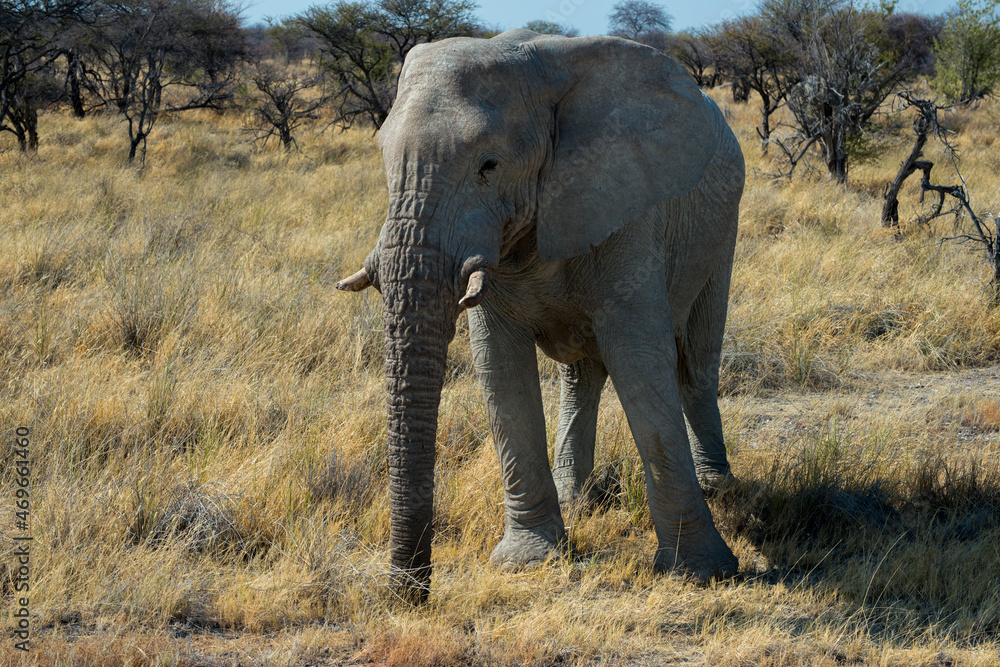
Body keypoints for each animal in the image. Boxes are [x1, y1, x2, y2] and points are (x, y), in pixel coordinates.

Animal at [336, 29, 744, 601]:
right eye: (382, 159)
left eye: (489, 165)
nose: (408, 593)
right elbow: (500, 366)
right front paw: (530, 561)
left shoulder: (627, 204)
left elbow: (641, 360)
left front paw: (700, 573)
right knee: (582, 373)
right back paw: (580, 498)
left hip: (722, 227)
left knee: (697, 362)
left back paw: (718, 486)